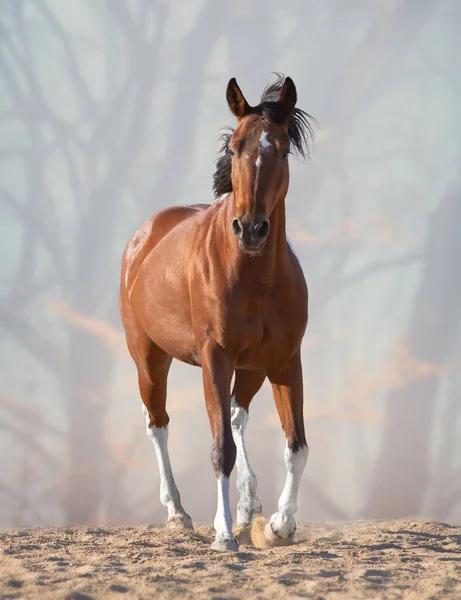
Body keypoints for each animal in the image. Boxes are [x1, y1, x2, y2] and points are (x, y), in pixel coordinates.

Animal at [118, 75, 314, 552]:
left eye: (282, 149)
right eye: (234, 148)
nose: (251, 228)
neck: (255, 275)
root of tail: (144, 236)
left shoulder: (285, 361)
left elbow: (296, 445)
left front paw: (279, 525)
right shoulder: (215, 358)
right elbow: (220, 447)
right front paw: (224, 534)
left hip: (253, 368)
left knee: (238, 415)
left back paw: (248, 507)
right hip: (149, 359)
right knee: (158, 423)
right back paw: (178, 513)